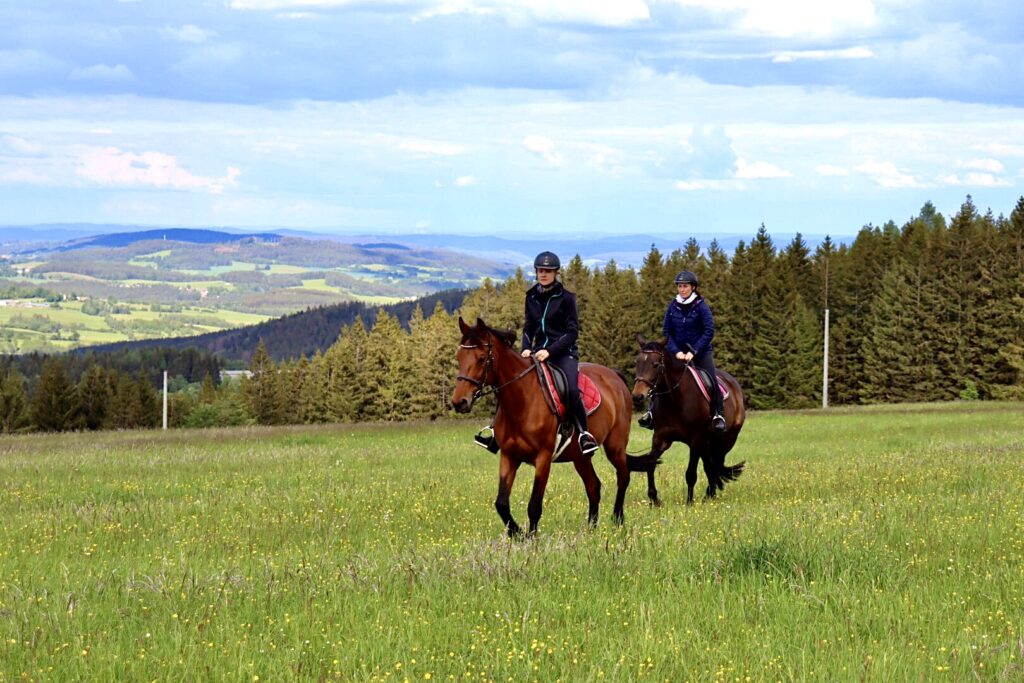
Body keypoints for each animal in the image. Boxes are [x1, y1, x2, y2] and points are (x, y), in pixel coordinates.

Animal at [454, 317, 634, 536]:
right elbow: (501, 504)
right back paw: (590, 529)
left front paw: (531, 538)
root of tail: (614, 376)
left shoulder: (543, 458)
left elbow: (534, 506)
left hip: (615, 446)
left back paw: (618, 520)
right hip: (580, 457)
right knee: (593, 486)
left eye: (481, 358)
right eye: (459, 357)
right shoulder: (509, 456)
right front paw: (517, 533)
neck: (522, 400)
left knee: (623, 477)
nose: (459, 402)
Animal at [622, 333, 745, 505]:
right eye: (637, 362)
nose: (637, 396)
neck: (676, 398)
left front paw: (689, 502)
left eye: (655, 364)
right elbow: (650, 464)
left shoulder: (696, 440)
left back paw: (710, 494)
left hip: (727, 439)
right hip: (707, 443)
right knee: (710, 466)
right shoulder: (660, 438)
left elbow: (691, 473)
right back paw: (709, 495)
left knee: (716, 464)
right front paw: (654, 499)